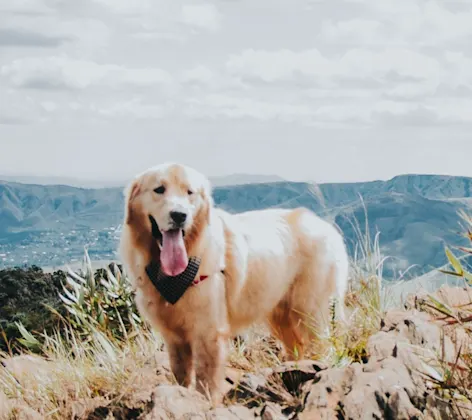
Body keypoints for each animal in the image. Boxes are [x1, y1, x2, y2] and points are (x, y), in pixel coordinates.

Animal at [119, 162, 350, 404]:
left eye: (189, 192)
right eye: (159, 189)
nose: (180, 215)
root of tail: (328, 227)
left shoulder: (208, 332)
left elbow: (206, 380)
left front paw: (206, 403)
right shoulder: (174, 337)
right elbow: (181, 375)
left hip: (310, 311)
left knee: (320, 344)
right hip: (283, 317)